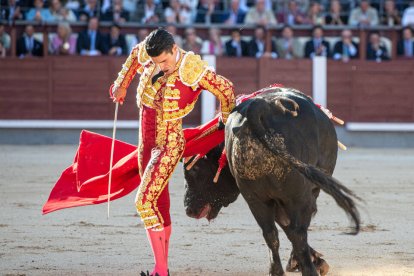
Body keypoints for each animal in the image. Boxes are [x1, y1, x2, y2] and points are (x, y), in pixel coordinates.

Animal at [183, 87, 360, 276]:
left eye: (195, 169)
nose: (189, 210)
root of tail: (260, 107)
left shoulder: (267, 198)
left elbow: (282, 228)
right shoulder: (305, 194)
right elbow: (295, 227)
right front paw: (309, 262)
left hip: (254, 198)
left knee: (271, 233)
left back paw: (277, 270)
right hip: (297, 195)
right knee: (298, 232)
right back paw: (309, 269)